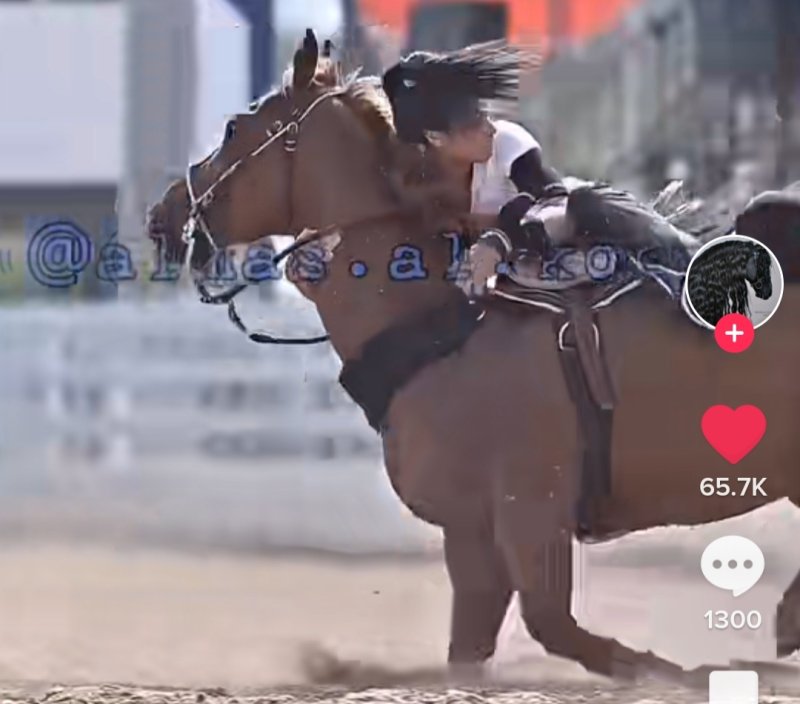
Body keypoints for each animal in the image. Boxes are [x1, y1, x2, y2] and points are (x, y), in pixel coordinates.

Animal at [145, 29, 800, 686]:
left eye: (234, 127)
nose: (163, 215)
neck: (445, 322)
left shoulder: (531, 514)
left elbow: (554, 625)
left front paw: (674, 672)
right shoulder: (471, 533)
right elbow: (470, 651)